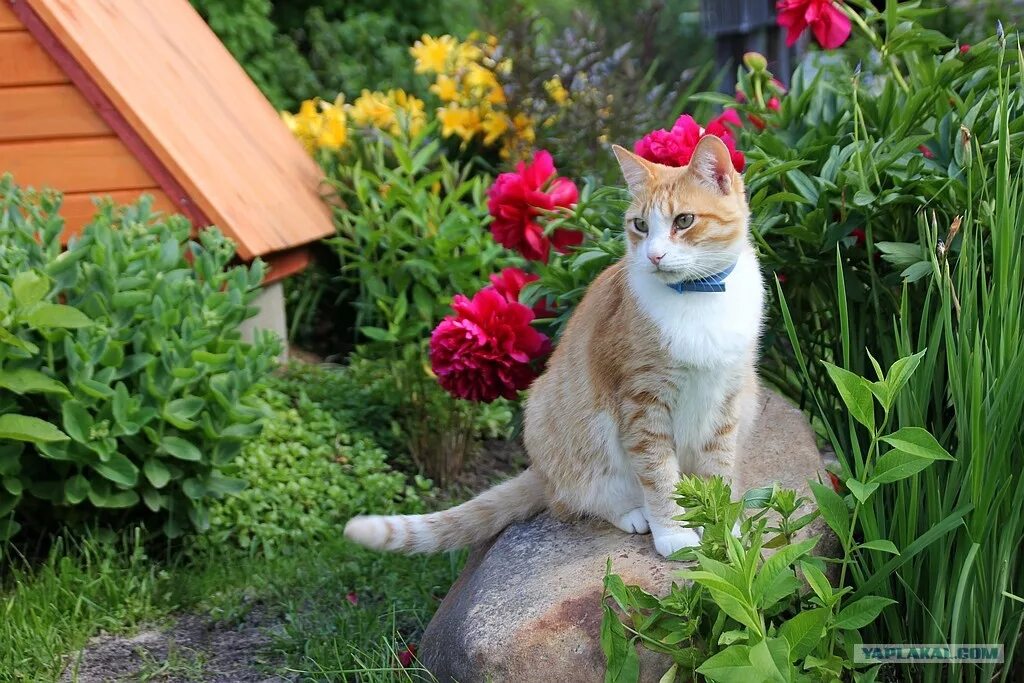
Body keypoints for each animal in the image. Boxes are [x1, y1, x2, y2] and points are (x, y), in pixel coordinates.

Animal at [348, 136, 765, 557]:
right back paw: (632, 514)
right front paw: (675, 533)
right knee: (571, 499)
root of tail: (540, 469)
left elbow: (718, 472)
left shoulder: (728, 398)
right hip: (567, 427)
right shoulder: (642, 403)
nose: (654, 255)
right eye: (640, 226)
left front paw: (720, 527)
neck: (698, 295)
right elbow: (659, 475)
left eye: (683, 221)